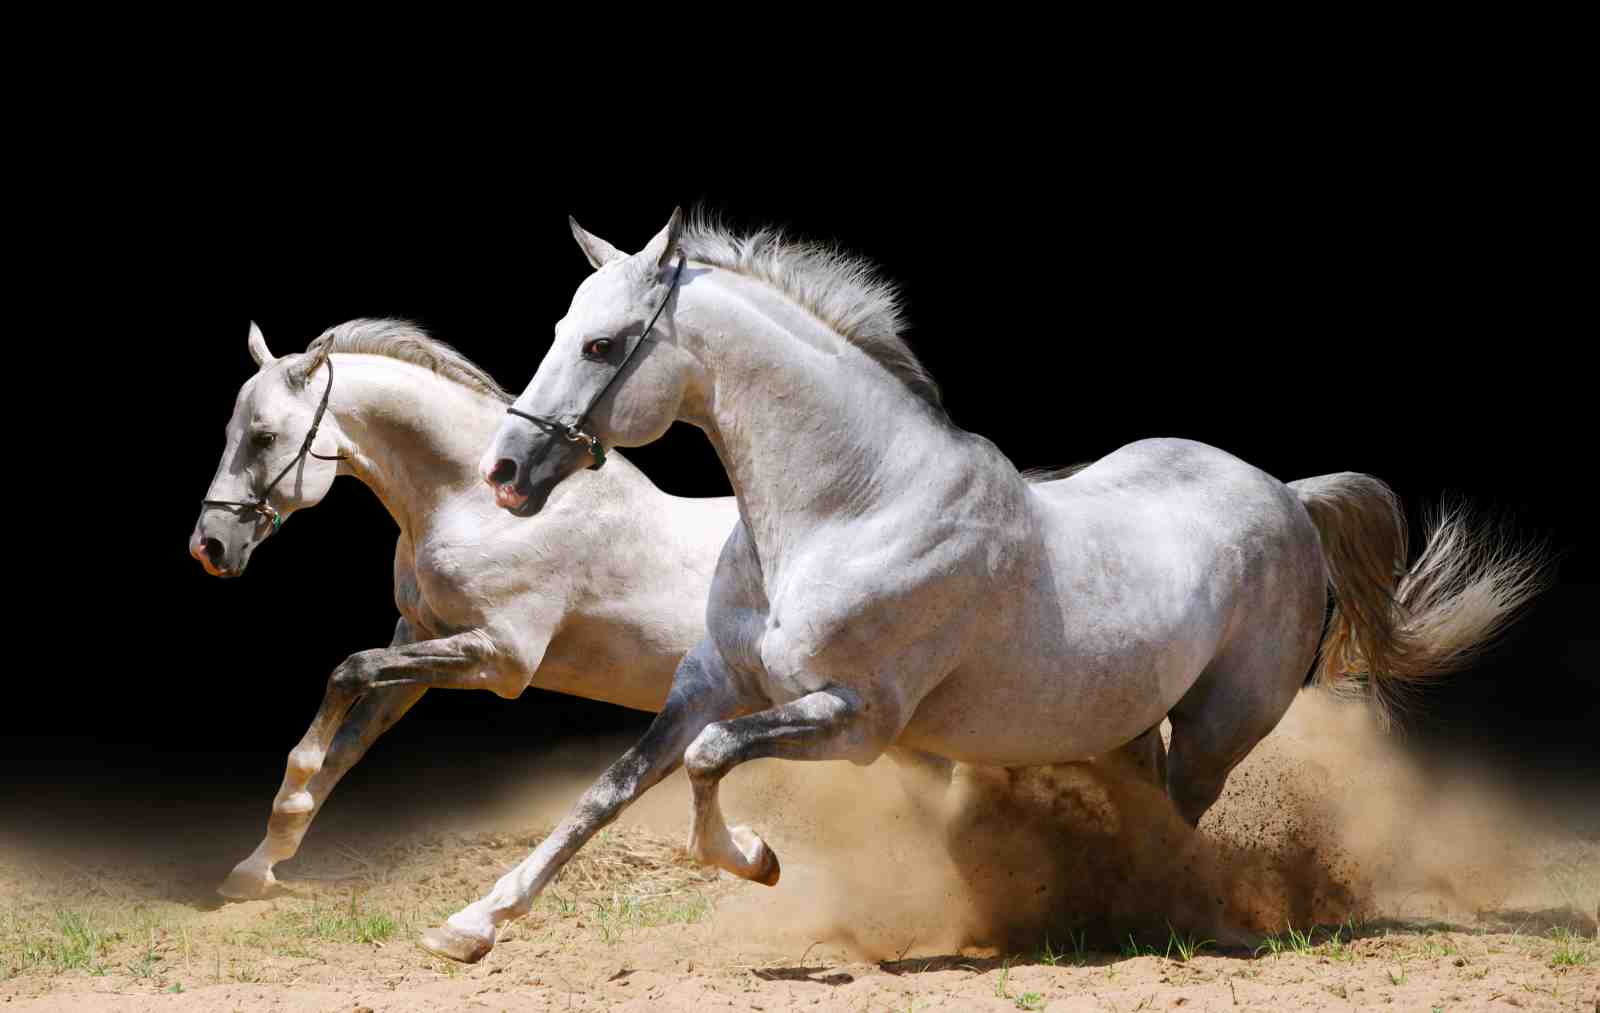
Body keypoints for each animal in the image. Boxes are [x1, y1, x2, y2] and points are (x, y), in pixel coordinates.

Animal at [189, 318, 740, 901]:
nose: (209, 547)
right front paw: (258, 865)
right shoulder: (417, 640)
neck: (478, 507)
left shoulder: (501, 660)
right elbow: (348, 743)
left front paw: (288, 802)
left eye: (264, 437)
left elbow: (348, 672)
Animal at [410, 208, 1548, 964]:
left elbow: (707, 761)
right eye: (560, 328)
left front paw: (760, 858)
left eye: (602, 343)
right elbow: (611, 789)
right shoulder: (709, 682)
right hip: (1124, 723)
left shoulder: (856, 718)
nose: (505, 472)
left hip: (1219, 725)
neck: (849, 506)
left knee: (1182, 822)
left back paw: (1163, 915)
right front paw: (468, 927)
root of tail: (1286, 494)